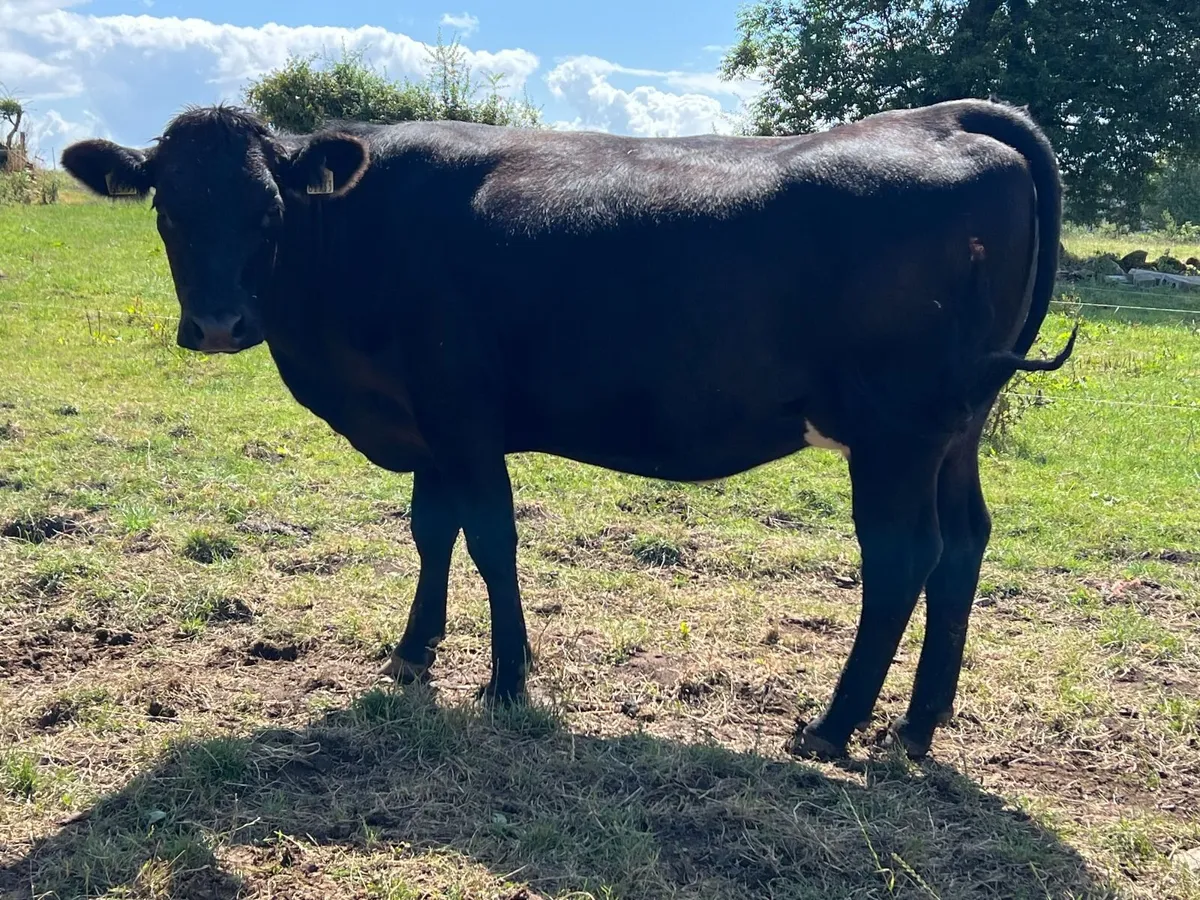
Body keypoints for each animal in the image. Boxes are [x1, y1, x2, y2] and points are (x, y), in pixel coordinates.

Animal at [61, 99, 1074, 760]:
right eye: (167, 209)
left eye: (270, 207)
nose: (220, 324)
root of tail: (946, 119)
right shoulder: (428, 423)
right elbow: (431, 532)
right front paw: (413, 652)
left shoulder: (462, 415)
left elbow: (491, 539)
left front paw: (508, 679)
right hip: (956, 430)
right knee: (965, 544)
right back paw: (917, 726)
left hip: (897, 431)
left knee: (903, 556)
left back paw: (832, 728)